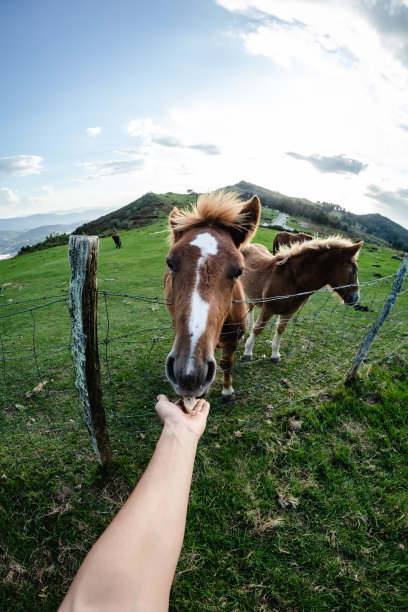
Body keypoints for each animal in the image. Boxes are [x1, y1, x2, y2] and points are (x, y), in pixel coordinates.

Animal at [163, 191, 262, 402]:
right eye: (170, 263)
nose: (188, 375)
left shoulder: (232, 341)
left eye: (239, 271)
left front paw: (227, 391)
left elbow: (226, 363)